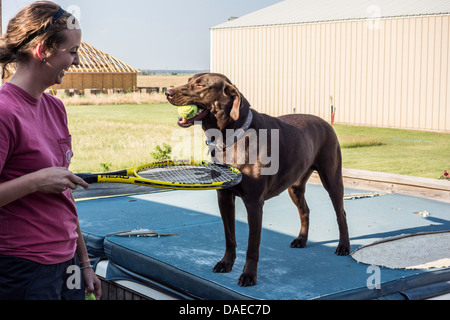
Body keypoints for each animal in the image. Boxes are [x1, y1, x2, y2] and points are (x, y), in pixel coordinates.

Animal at [166, 73, 352, 288]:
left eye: (200, 85)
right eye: (189, 80)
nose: (167, 92)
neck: (232, 137)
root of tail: (325, 122)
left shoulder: (254, 203)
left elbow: (252, 246)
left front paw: (248, 275)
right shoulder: (224, 197)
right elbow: (230, 237)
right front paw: (226, 263)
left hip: (332, 179)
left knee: (341, 213)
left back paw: (344, 246)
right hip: (295, 186)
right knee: (305, 210)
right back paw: (301, 239)